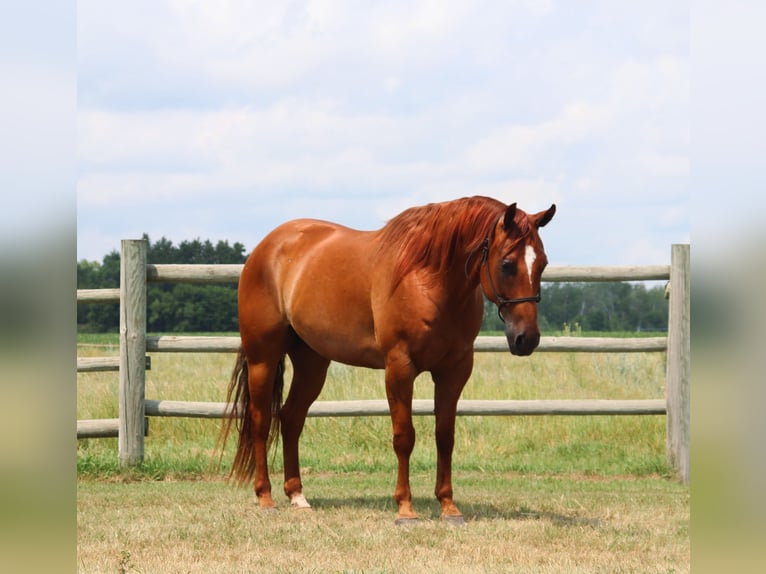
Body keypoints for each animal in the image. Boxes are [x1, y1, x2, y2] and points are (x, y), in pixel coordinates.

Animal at [219, 198, 556, 528]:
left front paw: (448, 507)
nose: (527, 339)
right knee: (261, 420)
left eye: (542, 263)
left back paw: (297, 496)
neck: (428, 280)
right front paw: (405, 509)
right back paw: (265, 498)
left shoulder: (454, 371)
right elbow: (404, 437)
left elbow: (445, 436)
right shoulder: (400, 368)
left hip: (312, 363)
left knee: (291, 418)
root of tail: (266, 247)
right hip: (263, 357)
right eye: (507, 264)